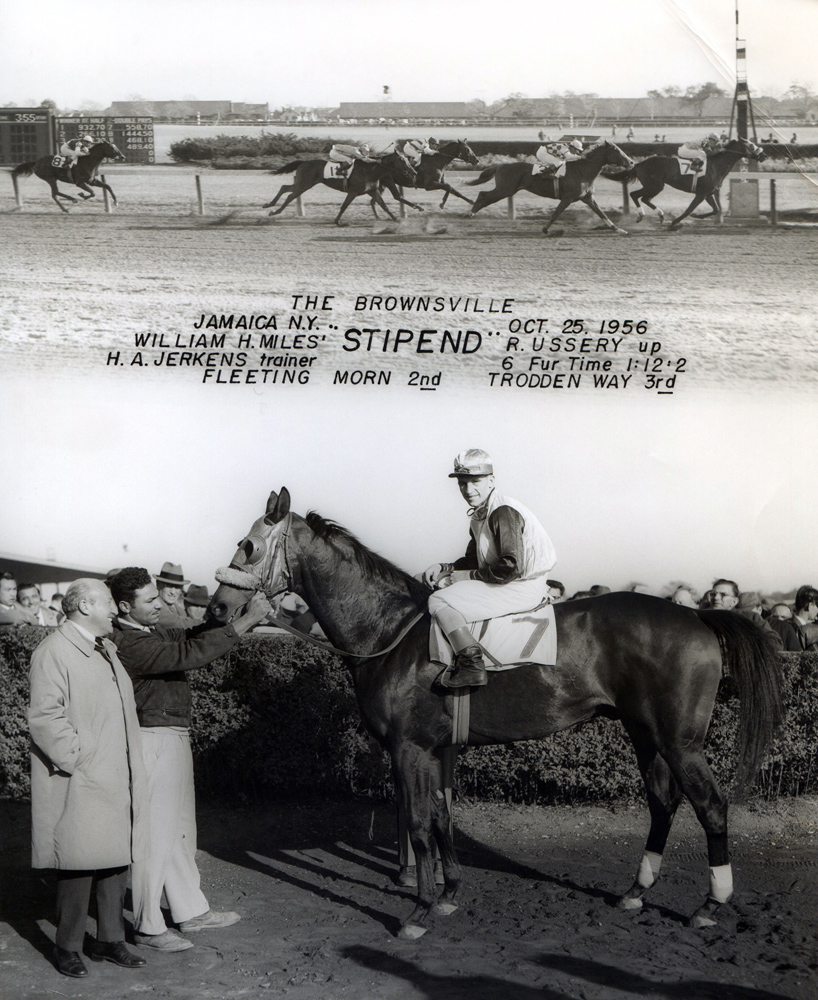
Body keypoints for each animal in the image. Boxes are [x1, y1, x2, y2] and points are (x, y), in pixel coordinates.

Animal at [210, 488, 784, 940]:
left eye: (248, 545)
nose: (217, 609)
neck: (389, 632)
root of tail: (698, 616)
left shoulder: (408, 748)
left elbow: (418, 823)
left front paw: (419, 910)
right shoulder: (433, 750)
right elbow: (441, 815)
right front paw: (449, 893)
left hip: (680, 740)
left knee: (711, 805)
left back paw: (710, 905)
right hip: (645, 733)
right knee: (663, 803)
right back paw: (636, 892)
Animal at [260, 151, 414, 224]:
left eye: (407, 159)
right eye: (402, 159)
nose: (413, 171)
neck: (370, 170)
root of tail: (303, 162)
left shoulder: (372, 191)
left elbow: (384, 205)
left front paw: (396, 219)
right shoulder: (353, 191)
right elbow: (344, 206)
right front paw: (337, 221)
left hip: (303, 183)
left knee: (285, 188)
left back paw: (269, 205)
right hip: (304, 184)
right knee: (291, 195)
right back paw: (274, 211)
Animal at [466, 140, 632, 235]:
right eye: (617, 150)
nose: (631, 162)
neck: (583, 171)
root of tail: (500, 165)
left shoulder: (587, 197)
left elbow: (602, 213)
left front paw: (619, 229)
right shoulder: (568, 198)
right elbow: (556, 213)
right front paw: (545, 229)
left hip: (506, 190)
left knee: (484, 196)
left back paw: (472, 212)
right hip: (505, 189)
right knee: (483, 195)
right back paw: (470, 213)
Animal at [612, 137, 764, 229]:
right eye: (751, 145)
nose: (764, 155)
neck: (716, 166)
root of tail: (640, 164)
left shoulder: (708, 194)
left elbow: (716, 209)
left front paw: (698, 216)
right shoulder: (701, 194)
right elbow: (689, 209)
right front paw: (675, 223)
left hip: (655, 186)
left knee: (643, 198)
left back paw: (660, 215)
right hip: (654, 186)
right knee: (635, 195)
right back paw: (641, 215)